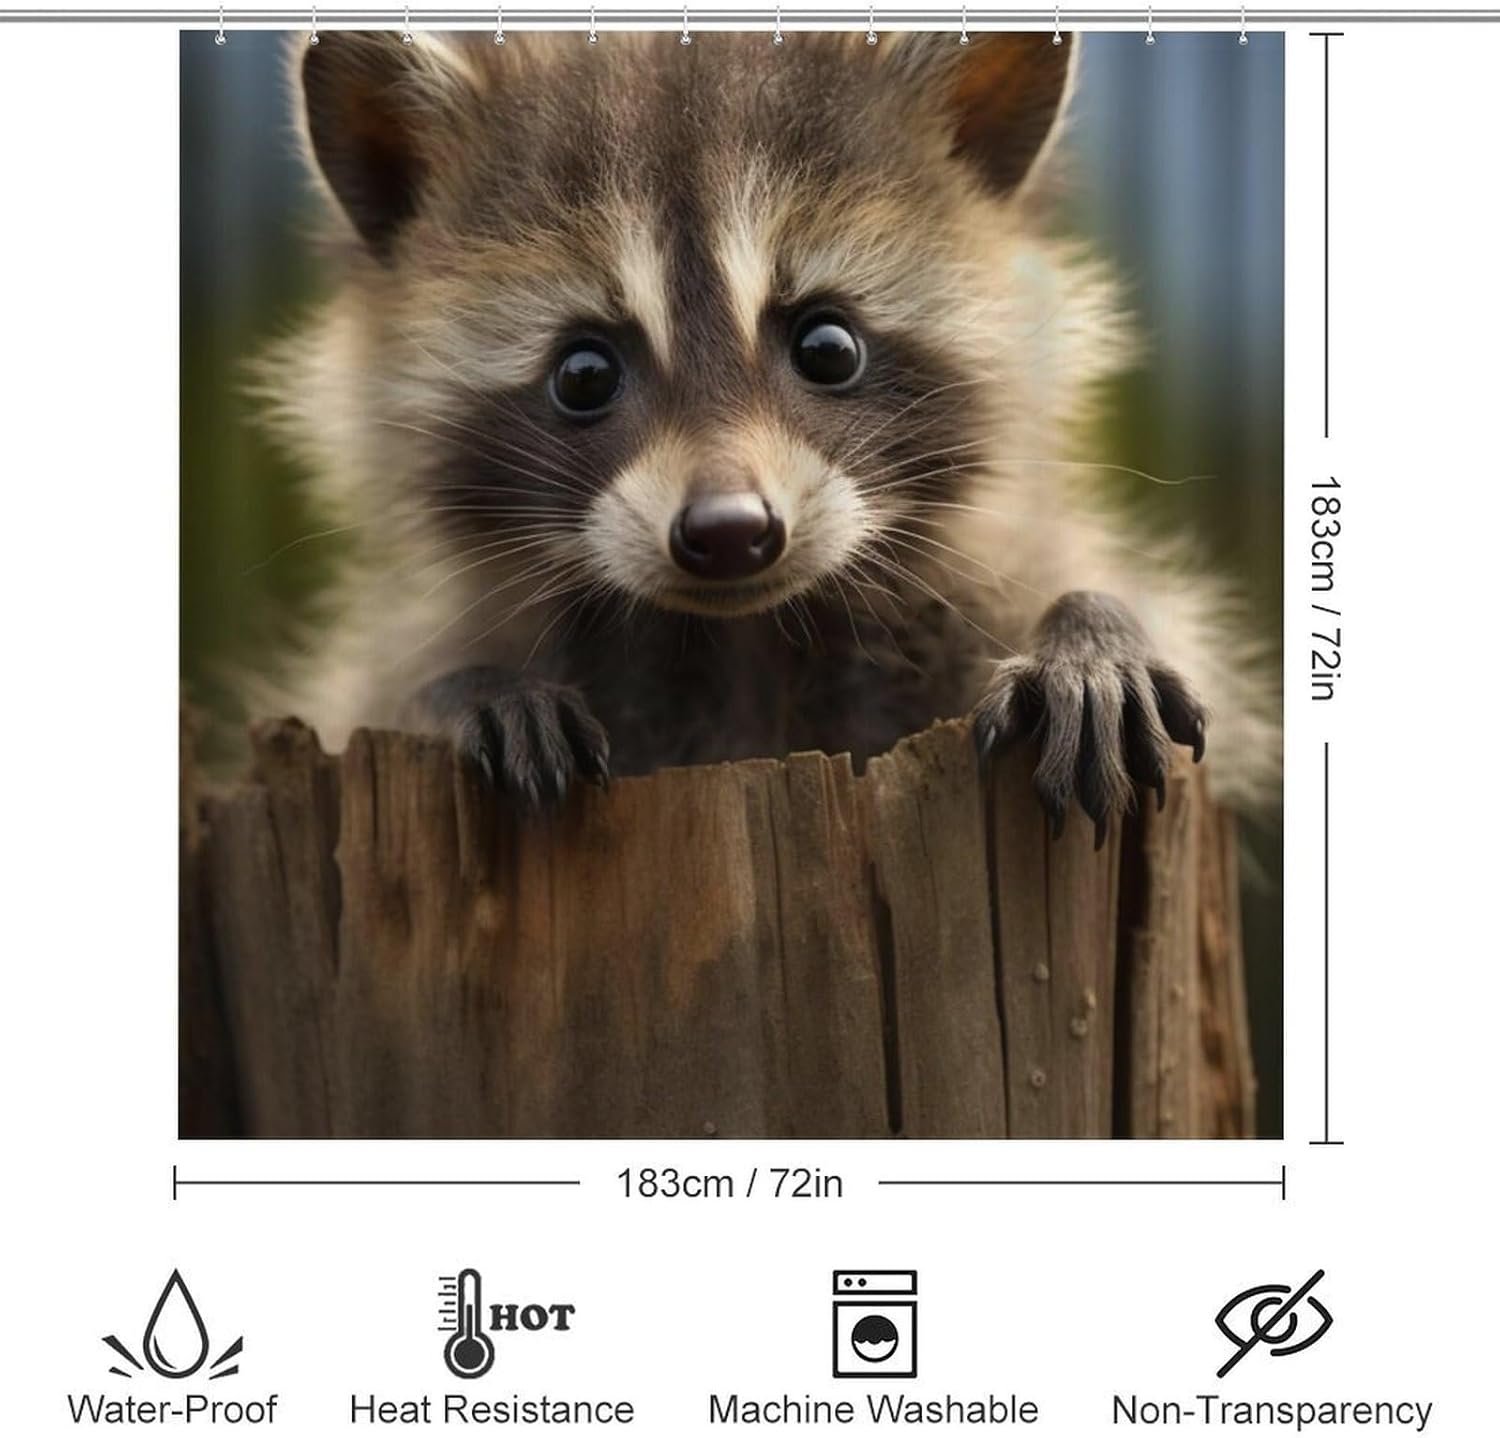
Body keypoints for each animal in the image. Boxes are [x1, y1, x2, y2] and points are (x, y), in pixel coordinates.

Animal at [253, 29, 1277, 845]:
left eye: (828, 346)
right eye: (583, 375)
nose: (730, 532)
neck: (743, 639)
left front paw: (1088, 627)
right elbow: (376, 701)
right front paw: (461, 692)